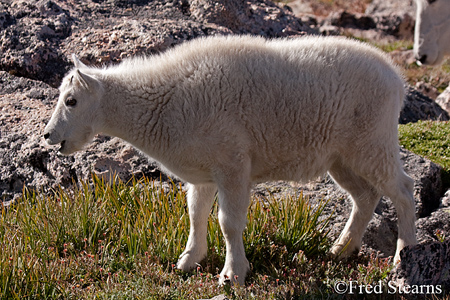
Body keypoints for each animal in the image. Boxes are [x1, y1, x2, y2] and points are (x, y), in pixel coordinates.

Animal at [44, 35, 416, 286]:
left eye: (71, 100)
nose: (48, 136)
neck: (165, 101)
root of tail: (397, 80)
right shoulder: (203, 173)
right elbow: (196, 214)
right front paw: (188, 261)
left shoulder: (233, 165)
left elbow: (228, 222)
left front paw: (233, 274)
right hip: (341, 157)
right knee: (365, 196)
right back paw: (340, 250)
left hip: (372, 142)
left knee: (403, 188)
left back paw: (404, 256)